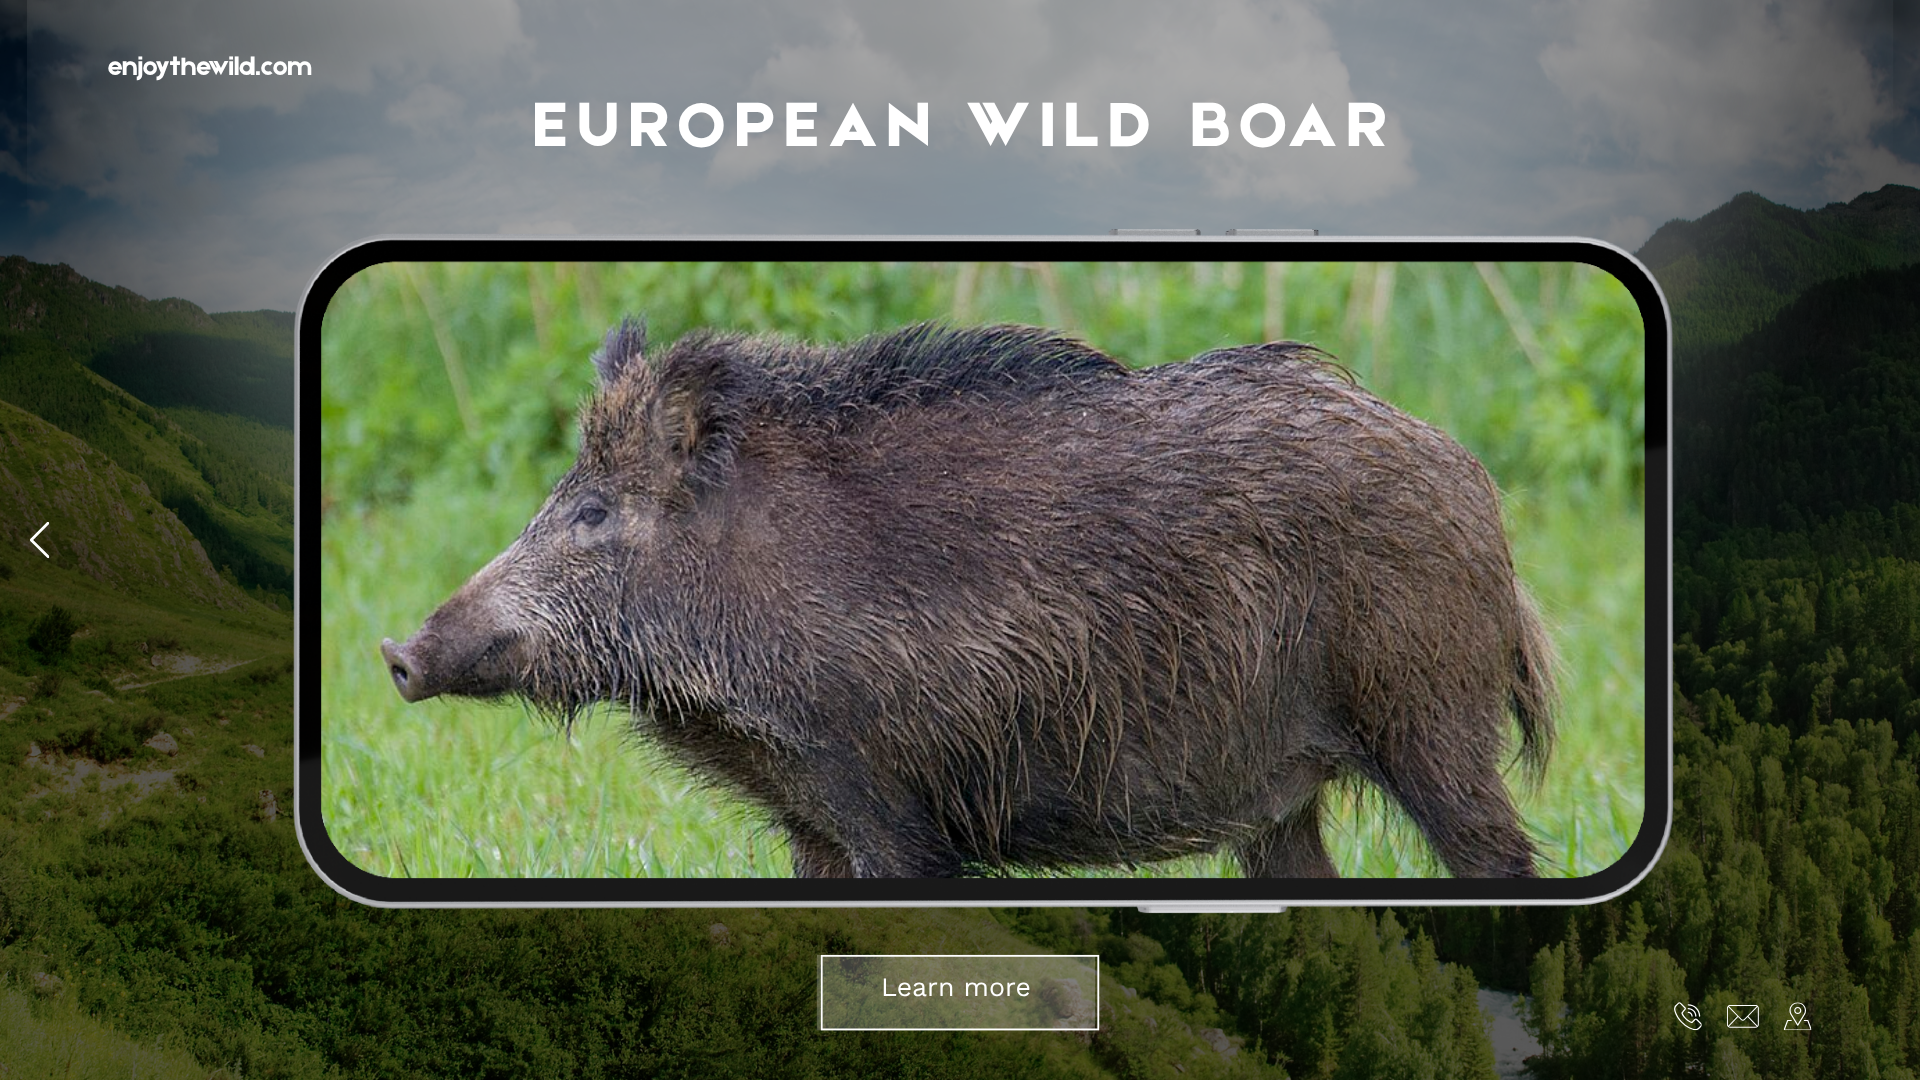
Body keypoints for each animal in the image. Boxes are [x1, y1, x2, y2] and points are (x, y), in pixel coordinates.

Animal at [381, 319, 1555, 879]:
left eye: (592, 514)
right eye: (557, 496)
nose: (396, 652)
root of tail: (1469, 478)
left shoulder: (889, 797)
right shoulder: (810, 815)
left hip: (1427, 713)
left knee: (1498, 852)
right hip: (1282, 792)